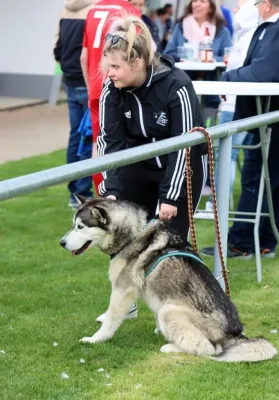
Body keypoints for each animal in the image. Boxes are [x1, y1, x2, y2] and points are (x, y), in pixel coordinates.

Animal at [59, 197, 278, 362]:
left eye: (80, 226)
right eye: (73, 225)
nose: (61, 243)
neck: (133, 235)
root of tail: (234, 335)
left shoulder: (123, 290)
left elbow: (111, 319)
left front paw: (96, 339)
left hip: (168, 310)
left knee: (209, 349)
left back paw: (171, 347)